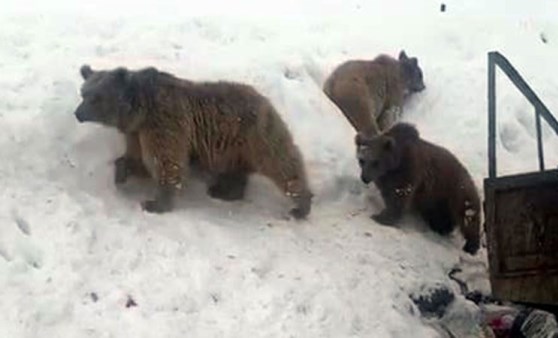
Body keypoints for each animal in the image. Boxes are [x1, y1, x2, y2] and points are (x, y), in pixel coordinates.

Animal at [73, 64, 316, 218]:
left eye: (96, 97)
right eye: (83, 92)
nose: (78, 113)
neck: (140, 111)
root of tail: (265, 100)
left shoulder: (163, 123)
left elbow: (166, 163)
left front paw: (155, 203)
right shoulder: (136, 134)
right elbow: (137, 159)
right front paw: (121, 173)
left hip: (255, 135)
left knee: (281, 162)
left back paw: (301, 204)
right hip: (232, 148)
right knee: (236, 172)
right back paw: (223, 191)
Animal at [358, 123, 482, 255]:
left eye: (375, 161)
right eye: (361, 160)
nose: (365, 178)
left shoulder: (409, 170)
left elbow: (399, 196)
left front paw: (382, 217)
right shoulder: (386, 180)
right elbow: (389, 195)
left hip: (455, 189)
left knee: (467, 214)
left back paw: (471, 245)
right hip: (435, 200)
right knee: (441, 216)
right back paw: (441, 228)